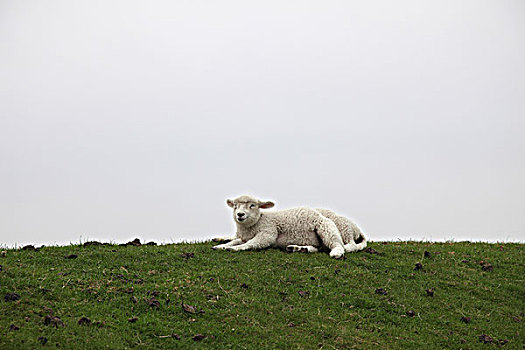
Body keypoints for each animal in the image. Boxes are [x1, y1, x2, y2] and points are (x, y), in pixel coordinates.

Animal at [211, 196, 366, 258]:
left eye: (252, 205)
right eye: (235, 206)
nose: (240, 214)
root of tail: (357, 230)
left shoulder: (268, 233)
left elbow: (250, 244)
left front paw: (234, 248)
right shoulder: (243, 236)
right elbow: (234, 240)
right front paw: (221, 245)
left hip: (329, 227)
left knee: (341, 244)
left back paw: (338, 252)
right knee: (318, 248)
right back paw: (299, 248)